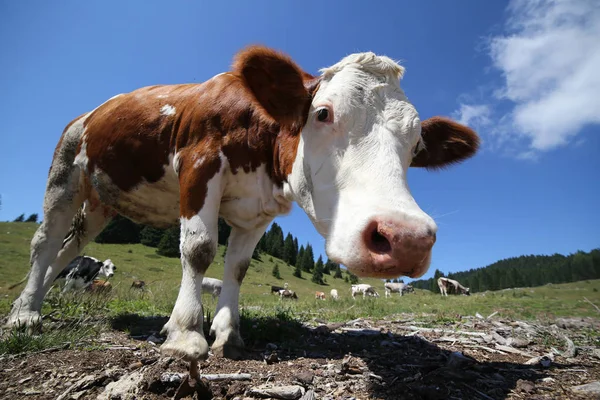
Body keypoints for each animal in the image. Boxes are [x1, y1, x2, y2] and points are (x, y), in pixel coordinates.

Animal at [5, 43, 478, 372]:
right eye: (323, 113)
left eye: (416, 146)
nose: (406, 239)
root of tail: (91, 111)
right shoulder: (198, 163)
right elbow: (199, 250)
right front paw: (186, 333)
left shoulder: (258, 210)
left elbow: (237, 267)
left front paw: (228, 334)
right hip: (65, 172)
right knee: (44, 241)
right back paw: (25, 316)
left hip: (102, 201)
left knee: (68, 248)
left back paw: (30, 304)